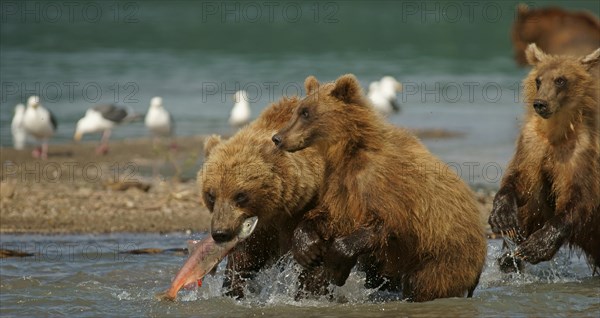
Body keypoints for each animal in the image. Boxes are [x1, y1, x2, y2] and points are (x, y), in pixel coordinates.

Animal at [198, 96, 324, 298]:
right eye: (211, 195)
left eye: (240, 195)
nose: (221, 233)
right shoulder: (259, 228)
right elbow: (243, 261)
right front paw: (233, 289)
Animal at [272, 73, 488, 302]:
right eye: (297, 111)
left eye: (306, 113)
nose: (277, 138)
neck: (350, 150)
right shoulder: (339, 183)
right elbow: (329, 217)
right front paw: (307, 248)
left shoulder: (383, 182)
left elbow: (387, 222)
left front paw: (336, 263)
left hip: (442, 255)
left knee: (424, 283)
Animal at [490, 43, 596, 272]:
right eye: (539, 80)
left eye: (560, 80)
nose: (540, 103)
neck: (556, 134)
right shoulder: (532, 145)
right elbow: (521, 180)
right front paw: (502, 216)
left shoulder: (580, 152)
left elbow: (578, 196)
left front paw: (536, 247)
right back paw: (508, 259)